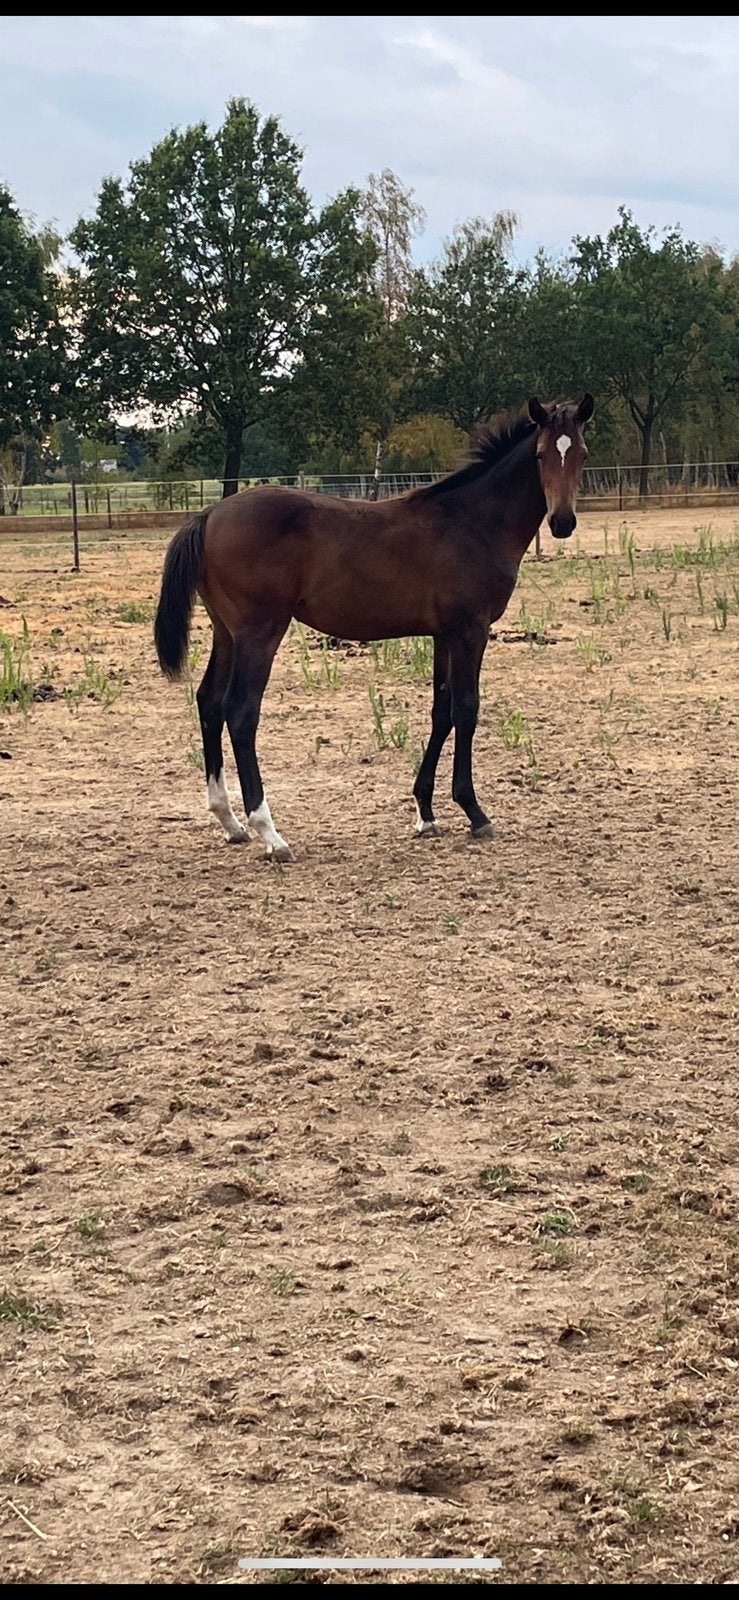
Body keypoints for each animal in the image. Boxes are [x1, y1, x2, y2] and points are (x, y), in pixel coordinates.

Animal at [154, 394, 594, 861]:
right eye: (541, 454)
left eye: (582, 454)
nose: (562, 522)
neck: (472, 521)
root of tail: (209, 515)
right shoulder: (470, 631)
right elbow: (466, 709)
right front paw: (474, 812)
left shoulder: (443, 635)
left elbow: (441, 711)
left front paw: (426, 813)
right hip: (259, 633)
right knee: (239, 711)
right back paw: (270, 833)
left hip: (226, 633)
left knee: (209, 702)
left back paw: (230, 822)